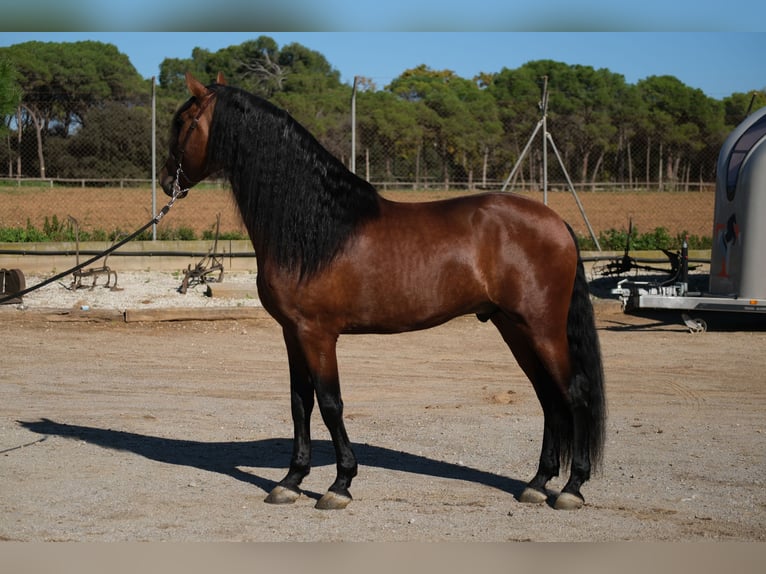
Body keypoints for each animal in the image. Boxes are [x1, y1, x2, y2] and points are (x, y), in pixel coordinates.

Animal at [160, 73, 608, 512]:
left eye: (182, 122)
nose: (167, 182)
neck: (317, 229)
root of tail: (557, 222)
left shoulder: (318, 334)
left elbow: (330, 403)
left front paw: (340, 484)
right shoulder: (292, 332)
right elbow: (299, 402)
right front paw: (290, 481)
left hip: (542, 328)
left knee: (575, 393)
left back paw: (572, 487)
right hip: (513, 327)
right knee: (549, 397)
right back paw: (538, 483)